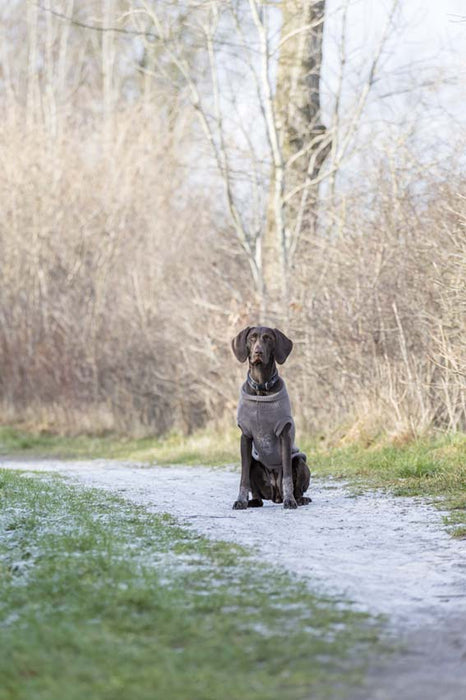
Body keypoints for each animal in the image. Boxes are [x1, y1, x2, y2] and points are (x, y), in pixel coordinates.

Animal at [229, 326, 310, 512]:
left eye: (268, 338)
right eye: (252, 338)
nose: (258, 352)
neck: (261, 389)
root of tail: (275, 496)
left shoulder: (284, 434)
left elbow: (287, 476)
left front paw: (290, 501)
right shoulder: (245, 436)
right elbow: (243, 478)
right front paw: (241, 501)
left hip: (300, 461)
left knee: (297, 486)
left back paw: (299, 499)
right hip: (254, 464)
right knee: (258, 497)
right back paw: (253, 502)